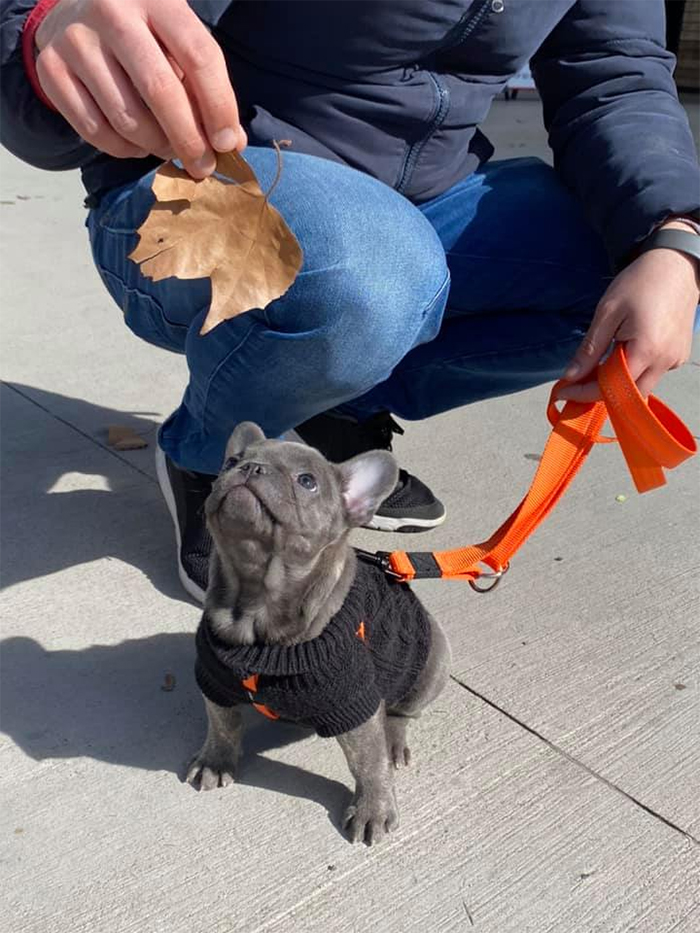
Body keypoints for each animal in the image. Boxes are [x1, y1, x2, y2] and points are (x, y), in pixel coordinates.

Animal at [187, 418, 448, 840]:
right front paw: (216, 760)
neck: (256, 599)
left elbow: (369, 763)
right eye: (231, 461)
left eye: (307, 481)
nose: (250, 468)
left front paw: (373, 808)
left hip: (433, 664)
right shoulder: (214, 680)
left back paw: (394, 742)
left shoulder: (355, 704)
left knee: (401, 715)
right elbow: (222, 724)